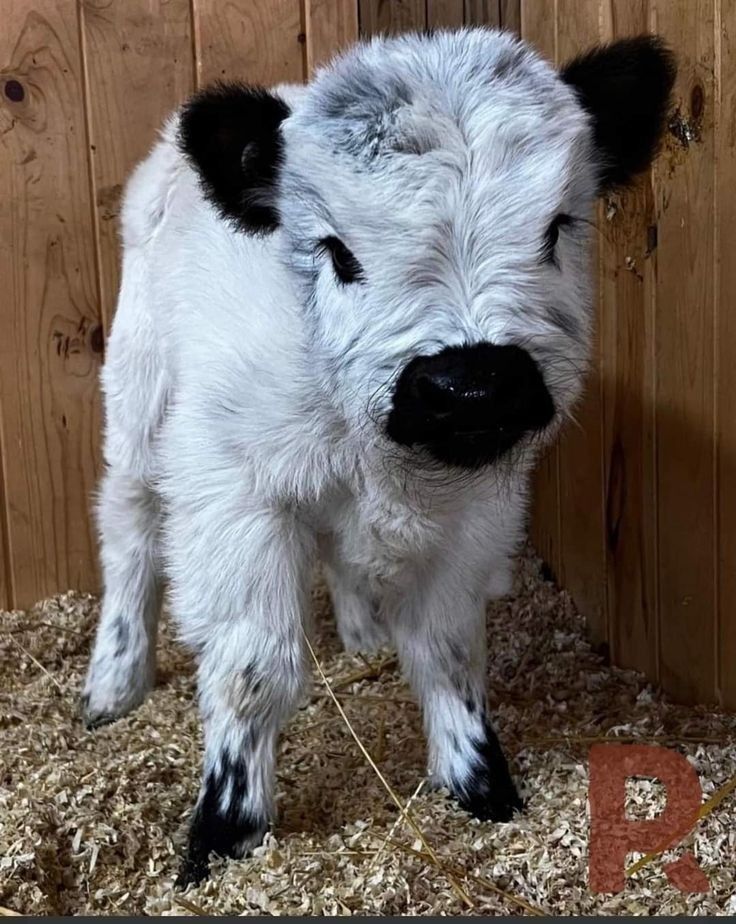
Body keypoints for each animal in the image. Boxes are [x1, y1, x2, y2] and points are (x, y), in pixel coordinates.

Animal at [80, 25, 672, 884]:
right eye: (337, 251)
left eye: (557, 228)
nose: (473, 385)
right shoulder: (234, 495)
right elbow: (254, 671)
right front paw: (224, 830)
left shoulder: (477, 518)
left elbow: (449, 652)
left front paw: (480, 783)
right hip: (137, 397)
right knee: (127, 529)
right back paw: (112, 685)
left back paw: (363, 632)